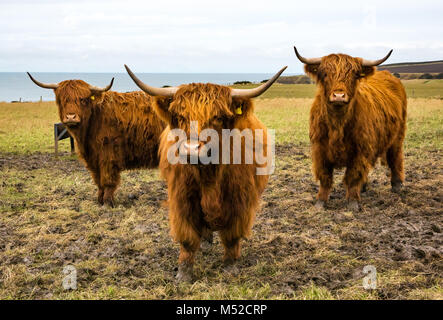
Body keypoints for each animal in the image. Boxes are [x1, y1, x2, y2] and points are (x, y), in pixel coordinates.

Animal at [125, 65, 288, 282]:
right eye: (181, 117)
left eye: (217, 117)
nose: (191, 150)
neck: (209, 175)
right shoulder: (182, 200)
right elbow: (187, 238)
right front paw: (184, 274)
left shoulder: (240, 201)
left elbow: (232, 236)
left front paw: (230, 266)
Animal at [296, 47, 408, 211]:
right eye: (325, 73)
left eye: (354, 75)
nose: (338, 95)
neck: (338, 124)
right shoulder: (320, 150)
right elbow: (325, 177)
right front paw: (320, 202)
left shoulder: (360, 150)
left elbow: (354, 176)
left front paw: (353, 202)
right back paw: (365, 187)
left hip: (397, 136)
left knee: (395, 158)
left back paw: (397, 185)